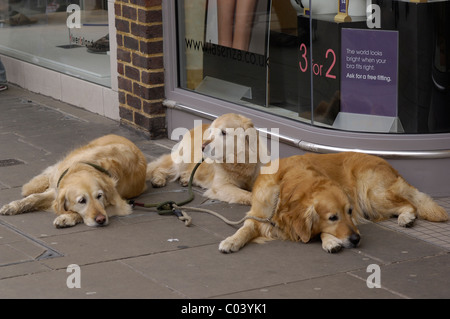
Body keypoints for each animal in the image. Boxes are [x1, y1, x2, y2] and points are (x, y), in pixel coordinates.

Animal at [0, 134, 147, 228]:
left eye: (99, 196)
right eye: (82, 201)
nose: (101, 220)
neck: (82, 168)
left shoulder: (121, 205)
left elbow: (82, 213)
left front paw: (67, 217)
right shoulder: (57, 189)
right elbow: (34, 198)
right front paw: (13, 206)